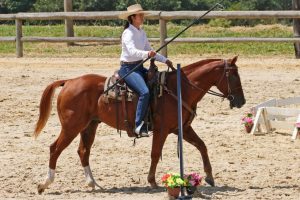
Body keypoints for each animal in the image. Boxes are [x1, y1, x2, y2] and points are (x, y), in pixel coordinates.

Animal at [34, 55, 246, 194]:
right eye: (233, 75)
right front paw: (152, 181)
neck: (179, 89)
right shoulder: (162, 130)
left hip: (89, 126)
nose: (241, 101)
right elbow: (155, 154)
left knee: (83, 151)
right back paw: (44, 184)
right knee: (55, 149)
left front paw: (209, 176)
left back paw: (92, 183)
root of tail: (69, 81)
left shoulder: (182, 128)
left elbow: (202, 146)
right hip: (71, 127)